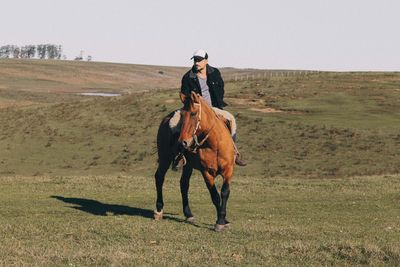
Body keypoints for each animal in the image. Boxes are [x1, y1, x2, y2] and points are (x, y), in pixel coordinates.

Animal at [153, 91, 234, 231]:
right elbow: (215, 196)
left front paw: (224, 219)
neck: (215, 145)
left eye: (193, 113)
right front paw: (220, 221)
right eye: (182, 115)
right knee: (159, 177)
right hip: (165, 158)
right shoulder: (206, 172)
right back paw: (158, 210)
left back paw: (188, 214)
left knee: (184, 184)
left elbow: (224, 192)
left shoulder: (228, 170)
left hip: (188, 166)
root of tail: (166, 119)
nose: (183, 142)